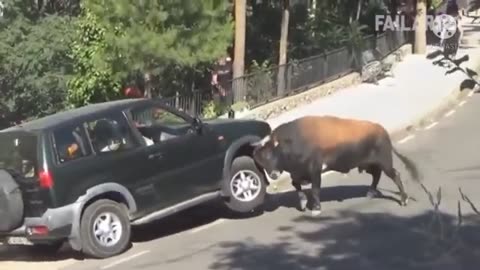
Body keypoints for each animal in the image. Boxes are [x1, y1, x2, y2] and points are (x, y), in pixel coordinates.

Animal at [251, 115, 420, 216]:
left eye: (270, 155)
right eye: (260, 162)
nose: (273, 174)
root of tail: (382, 130)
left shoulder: (315, 170)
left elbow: (315, 189)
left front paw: (316, 209)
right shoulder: (297, 173)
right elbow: (296, 185)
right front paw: (303, 202)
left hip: (385, 162)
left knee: (395, 175)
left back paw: (403, 199)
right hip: (369, 164)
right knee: (376, 175)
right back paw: (371, 192)